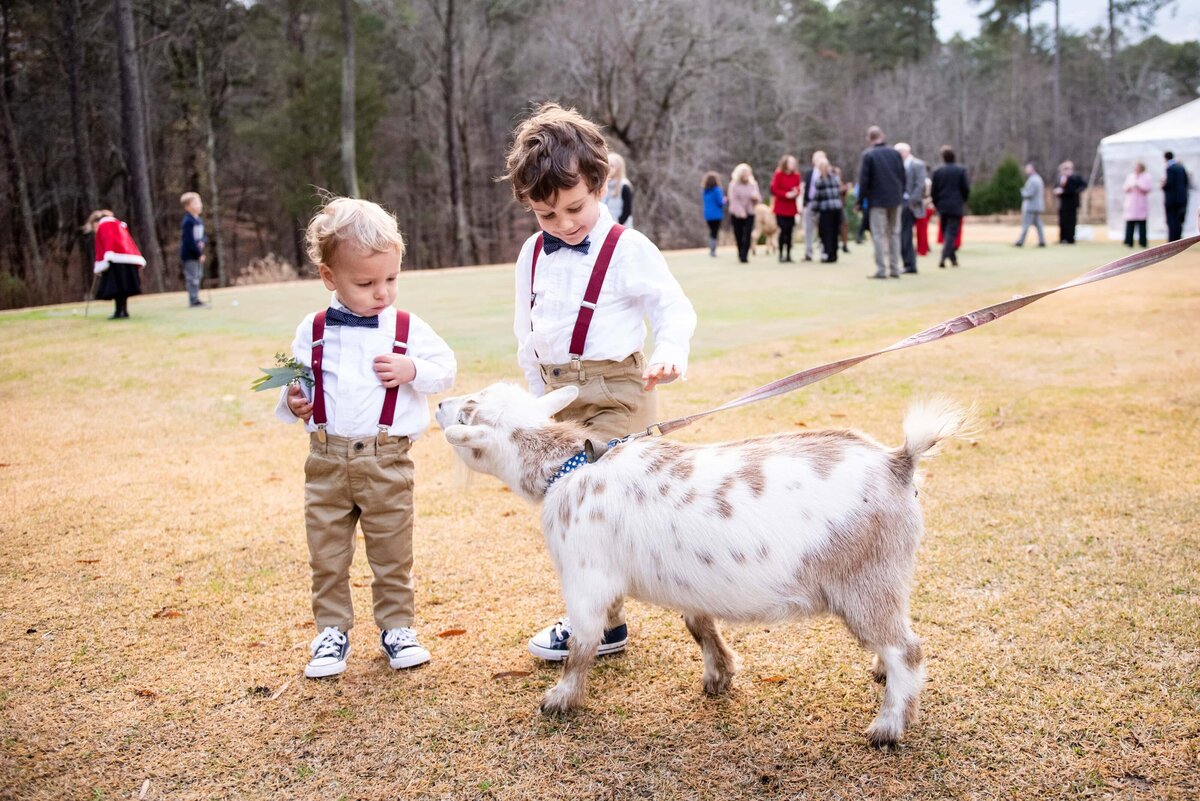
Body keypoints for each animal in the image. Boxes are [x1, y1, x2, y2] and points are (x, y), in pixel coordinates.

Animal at [436, 383, 969, 748]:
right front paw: (719, 676)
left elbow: (582, 647)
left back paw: (888, 726)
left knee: (907, 650)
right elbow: (699, 627)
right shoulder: (692, 589)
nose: (439, 404)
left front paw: (560, 699)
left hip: (864, 585)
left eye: (468, 409)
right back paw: (880, 674)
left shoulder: (586, 582)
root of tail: (898, 463)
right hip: (884, 583)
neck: (569, 467)